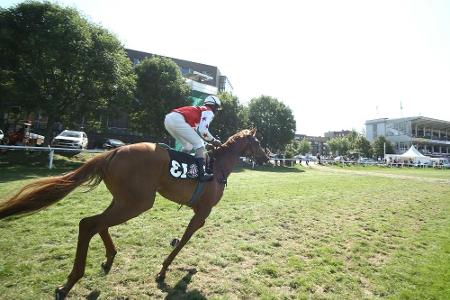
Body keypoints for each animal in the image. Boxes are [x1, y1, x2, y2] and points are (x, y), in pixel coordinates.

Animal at [0, 127, 268, 298]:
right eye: (257, 142)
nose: (267, 156)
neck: (218, 167)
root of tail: (113, 151)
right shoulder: (202, 213)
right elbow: (184, 241)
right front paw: (163, 270)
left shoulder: (197, 211)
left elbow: (181, 240)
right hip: (138, 202)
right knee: (89, 224)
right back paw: (69, 283)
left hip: (124, 199)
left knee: (99, 224)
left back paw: (108, 258)